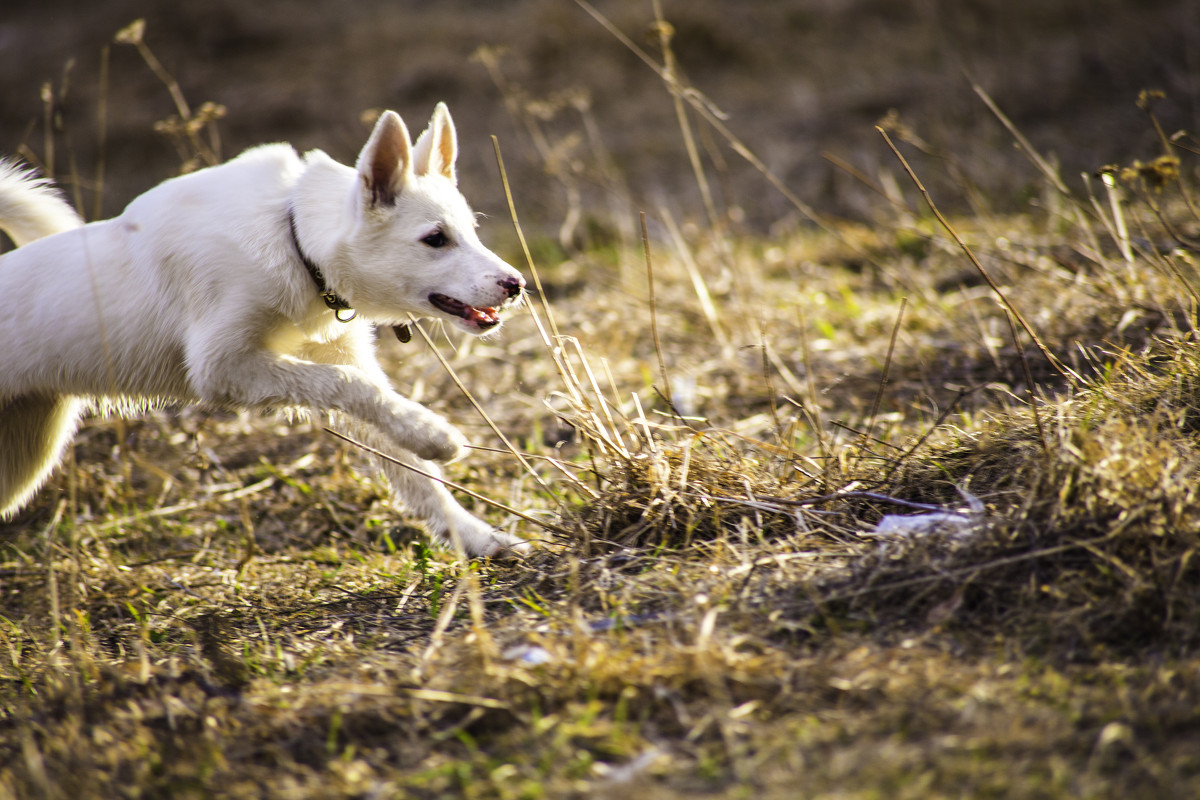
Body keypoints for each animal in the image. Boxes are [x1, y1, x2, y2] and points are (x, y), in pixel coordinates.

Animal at [0, 101, 530, 556]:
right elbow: (350, 387)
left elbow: (410, 463)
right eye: (435, 239)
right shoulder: (222, 368)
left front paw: (478, 537)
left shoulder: (336, 355)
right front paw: (435, 434)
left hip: (28, 451)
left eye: (472, 232)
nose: (516, 285)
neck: (294, 240)